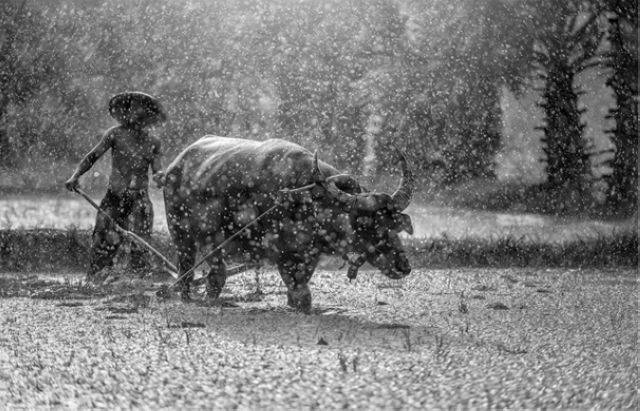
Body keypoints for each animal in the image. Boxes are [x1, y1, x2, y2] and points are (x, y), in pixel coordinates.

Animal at [164, 136, 416, 312]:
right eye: (368, 224)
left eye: (393, 225)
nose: (403, 266)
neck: (308, 200)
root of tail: (175, 164)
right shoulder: (281, 252)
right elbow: (299, 289)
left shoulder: (310, 254)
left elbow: (303, 281)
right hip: (180, 233)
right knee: (188, 268)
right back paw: (188, 297)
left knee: (215, 273)